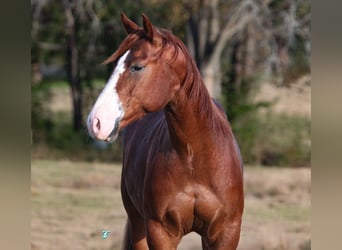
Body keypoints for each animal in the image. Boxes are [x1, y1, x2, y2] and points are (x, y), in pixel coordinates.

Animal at [87, 13, 244, 250]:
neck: (196, 159)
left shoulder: (225, 234)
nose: (95, 121)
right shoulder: (160, 232)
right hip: (138, 223)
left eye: (137, 67)